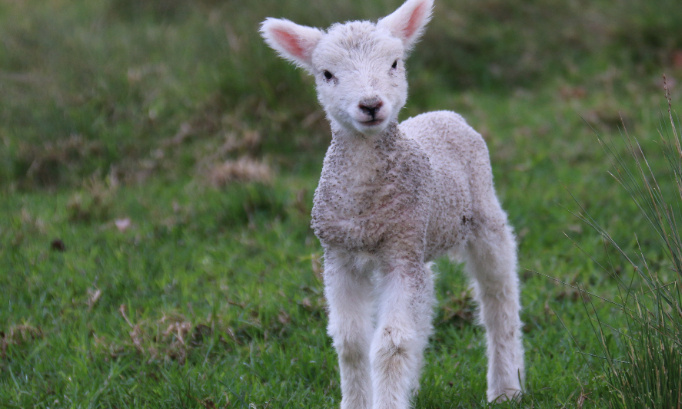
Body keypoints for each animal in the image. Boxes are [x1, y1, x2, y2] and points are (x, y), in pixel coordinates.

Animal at [258, 1, 524, 406]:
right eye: (327, 74)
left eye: (395, 63)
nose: (370, 105)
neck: (364, 207)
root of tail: (444, 114)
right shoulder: (340, 257)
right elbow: (351, 342)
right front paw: (357, 401)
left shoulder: (399, 254)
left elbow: (391, 344)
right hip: (419, 241)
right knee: (426, 302)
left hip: (482, 214)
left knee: (499, 298)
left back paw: (506, 387)